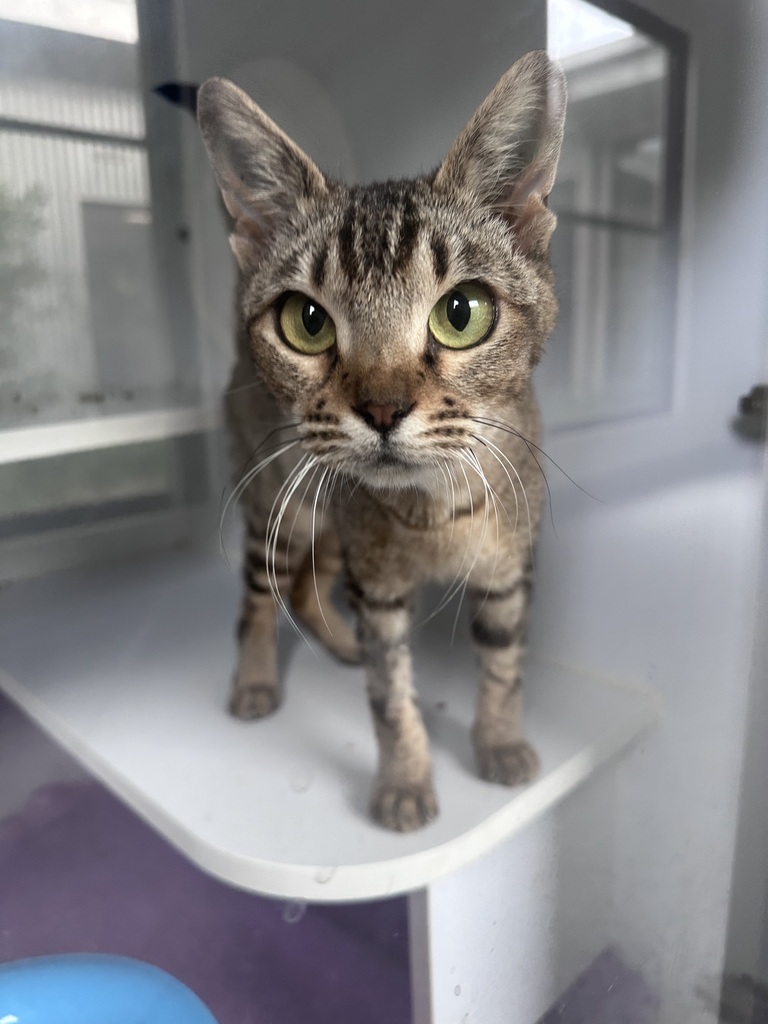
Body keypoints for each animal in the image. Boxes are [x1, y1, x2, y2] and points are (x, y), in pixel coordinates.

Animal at [197, 50, 566, 832]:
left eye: (462, 312)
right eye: (306, 321)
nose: (383, 407)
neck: (437, 511)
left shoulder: (508, 572)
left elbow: (503, 665)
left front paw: (500, 742)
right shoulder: (380, 590)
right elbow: (389, 695)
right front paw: (404, 781)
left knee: (308, 588)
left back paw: (336, 643)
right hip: (283, 507)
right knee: (262, 593)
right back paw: (256, 679)